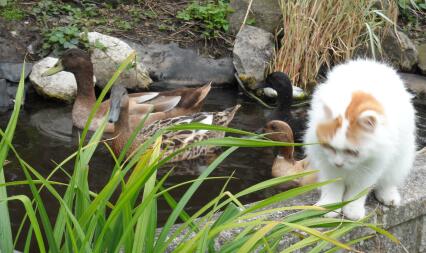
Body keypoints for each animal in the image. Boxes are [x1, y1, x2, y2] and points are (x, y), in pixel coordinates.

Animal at [302, 58, 416, 219]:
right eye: (330, 147)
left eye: (352, 152)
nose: (338, 164)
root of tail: (371, 63)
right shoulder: (327, 164)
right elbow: (332, 188)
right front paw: (330, 207)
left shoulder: (370, 169)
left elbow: (357, 192)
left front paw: (352, 211)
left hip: (400, 160)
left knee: (387, 182)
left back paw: (389, 198)